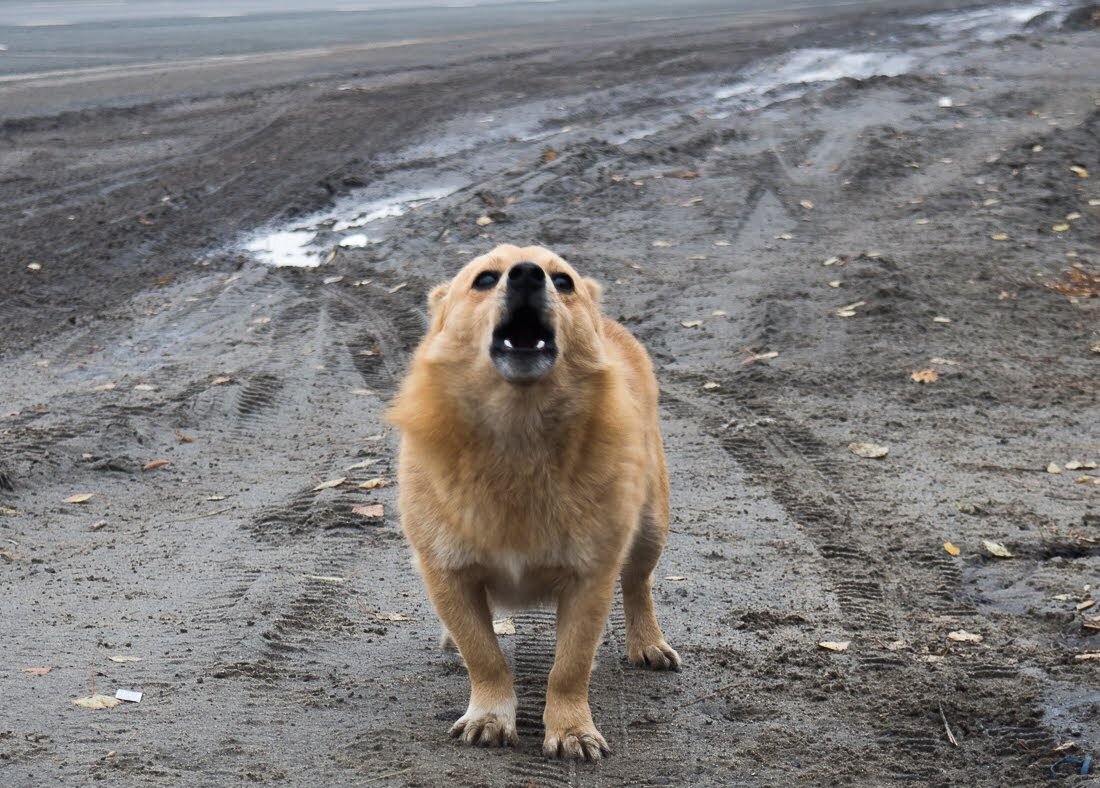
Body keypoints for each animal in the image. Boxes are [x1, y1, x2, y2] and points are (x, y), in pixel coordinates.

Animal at [387, 243, 677, 761]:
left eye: (563, 282)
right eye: (484, 279)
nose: (527, 275)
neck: (517, 437)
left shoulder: (591, 579)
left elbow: (569, 666)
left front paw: (571, 729)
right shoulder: (446, 573)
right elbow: (483, 656)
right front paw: (489, 716)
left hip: (650, 527)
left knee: (638, 584)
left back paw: (648, 643)